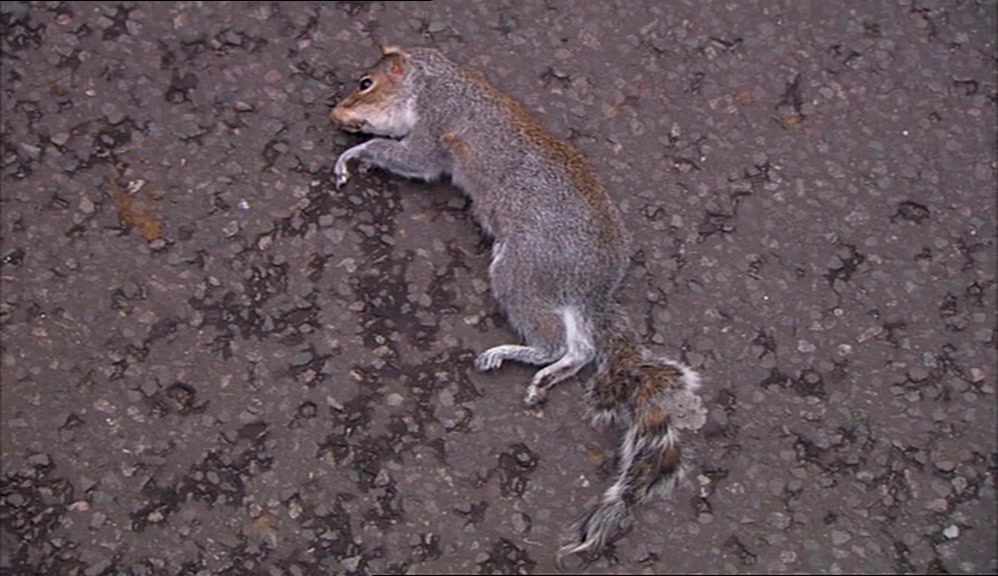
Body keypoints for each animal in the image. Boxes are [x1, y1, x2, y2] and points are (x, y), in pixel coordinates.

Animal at [330, 44, 703, 557]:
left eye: (366, 83)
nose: (336, 114)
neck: (438, 80)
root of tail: (595, 288)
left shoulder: (436, 124)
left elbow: (412, 157)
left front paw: (354, 155)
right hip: (549, 289)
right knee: (581, 349)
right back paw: (551, 375)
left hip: (519, 270)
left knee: (553, 341)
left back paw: (513, 355)